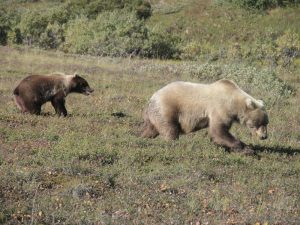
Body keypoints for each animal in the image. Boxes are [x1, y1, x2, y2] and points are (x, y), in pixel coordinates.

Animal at [141, 79, 270, 153]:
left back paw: (143, 137)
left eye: (266, 123)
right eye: (258, 123)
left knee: (151, 129)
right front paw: (246, 149)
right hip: (167, 109)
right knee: (170, 130)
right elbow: (219, 131)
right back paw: (172, 143)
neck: (233, 102)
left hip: (154, 115)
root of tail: (152, 98)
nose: (264, 136)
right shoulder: (220, 109)